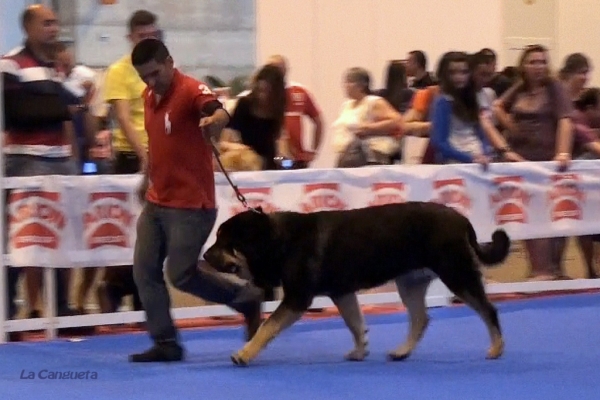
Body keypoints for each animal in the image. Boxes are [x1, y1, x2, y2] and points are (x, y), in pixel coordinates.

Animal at [204, 202, 508, 368]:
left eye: (223, 242)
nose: (205, 256)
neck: (278, 240)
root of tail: (462, 219)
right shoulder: (342, 292)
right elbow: (355, 323)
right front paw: (361, 350)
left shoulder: (298, 298)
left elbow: (268, 327)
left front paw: (244, 354)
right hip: (410, 283)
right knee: (421, 319)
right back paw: (402, 351)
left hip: (457, 274)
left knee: (489, 310)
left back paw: (497, 349)